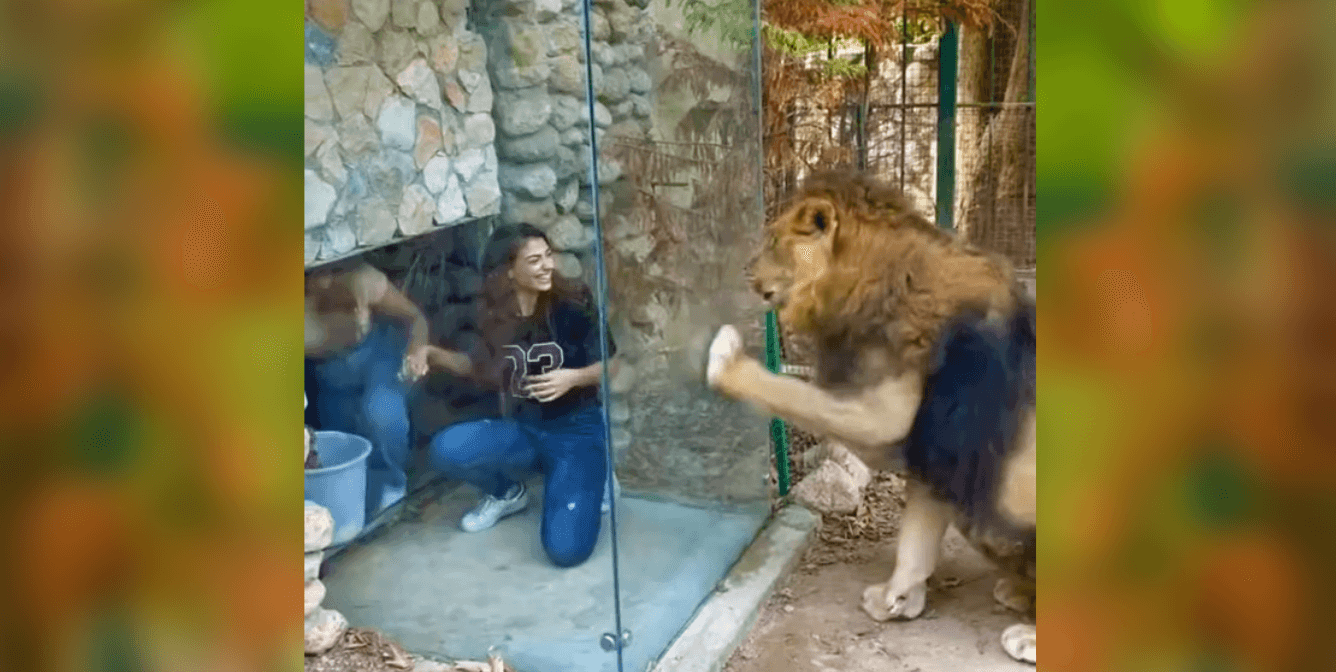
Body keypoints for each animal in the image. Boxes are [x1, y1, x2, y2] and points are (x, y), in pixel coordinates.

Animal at [705, 171, 1036, 665]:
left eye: (774, 240)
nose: (746, 271)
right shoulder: (935, 446)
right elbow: (915, 541)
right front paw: (897, 599)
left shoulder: (890, 418)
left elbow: (790, 392)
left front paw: (724, 359)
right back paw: (1016, 593)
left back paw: (1030, 635)